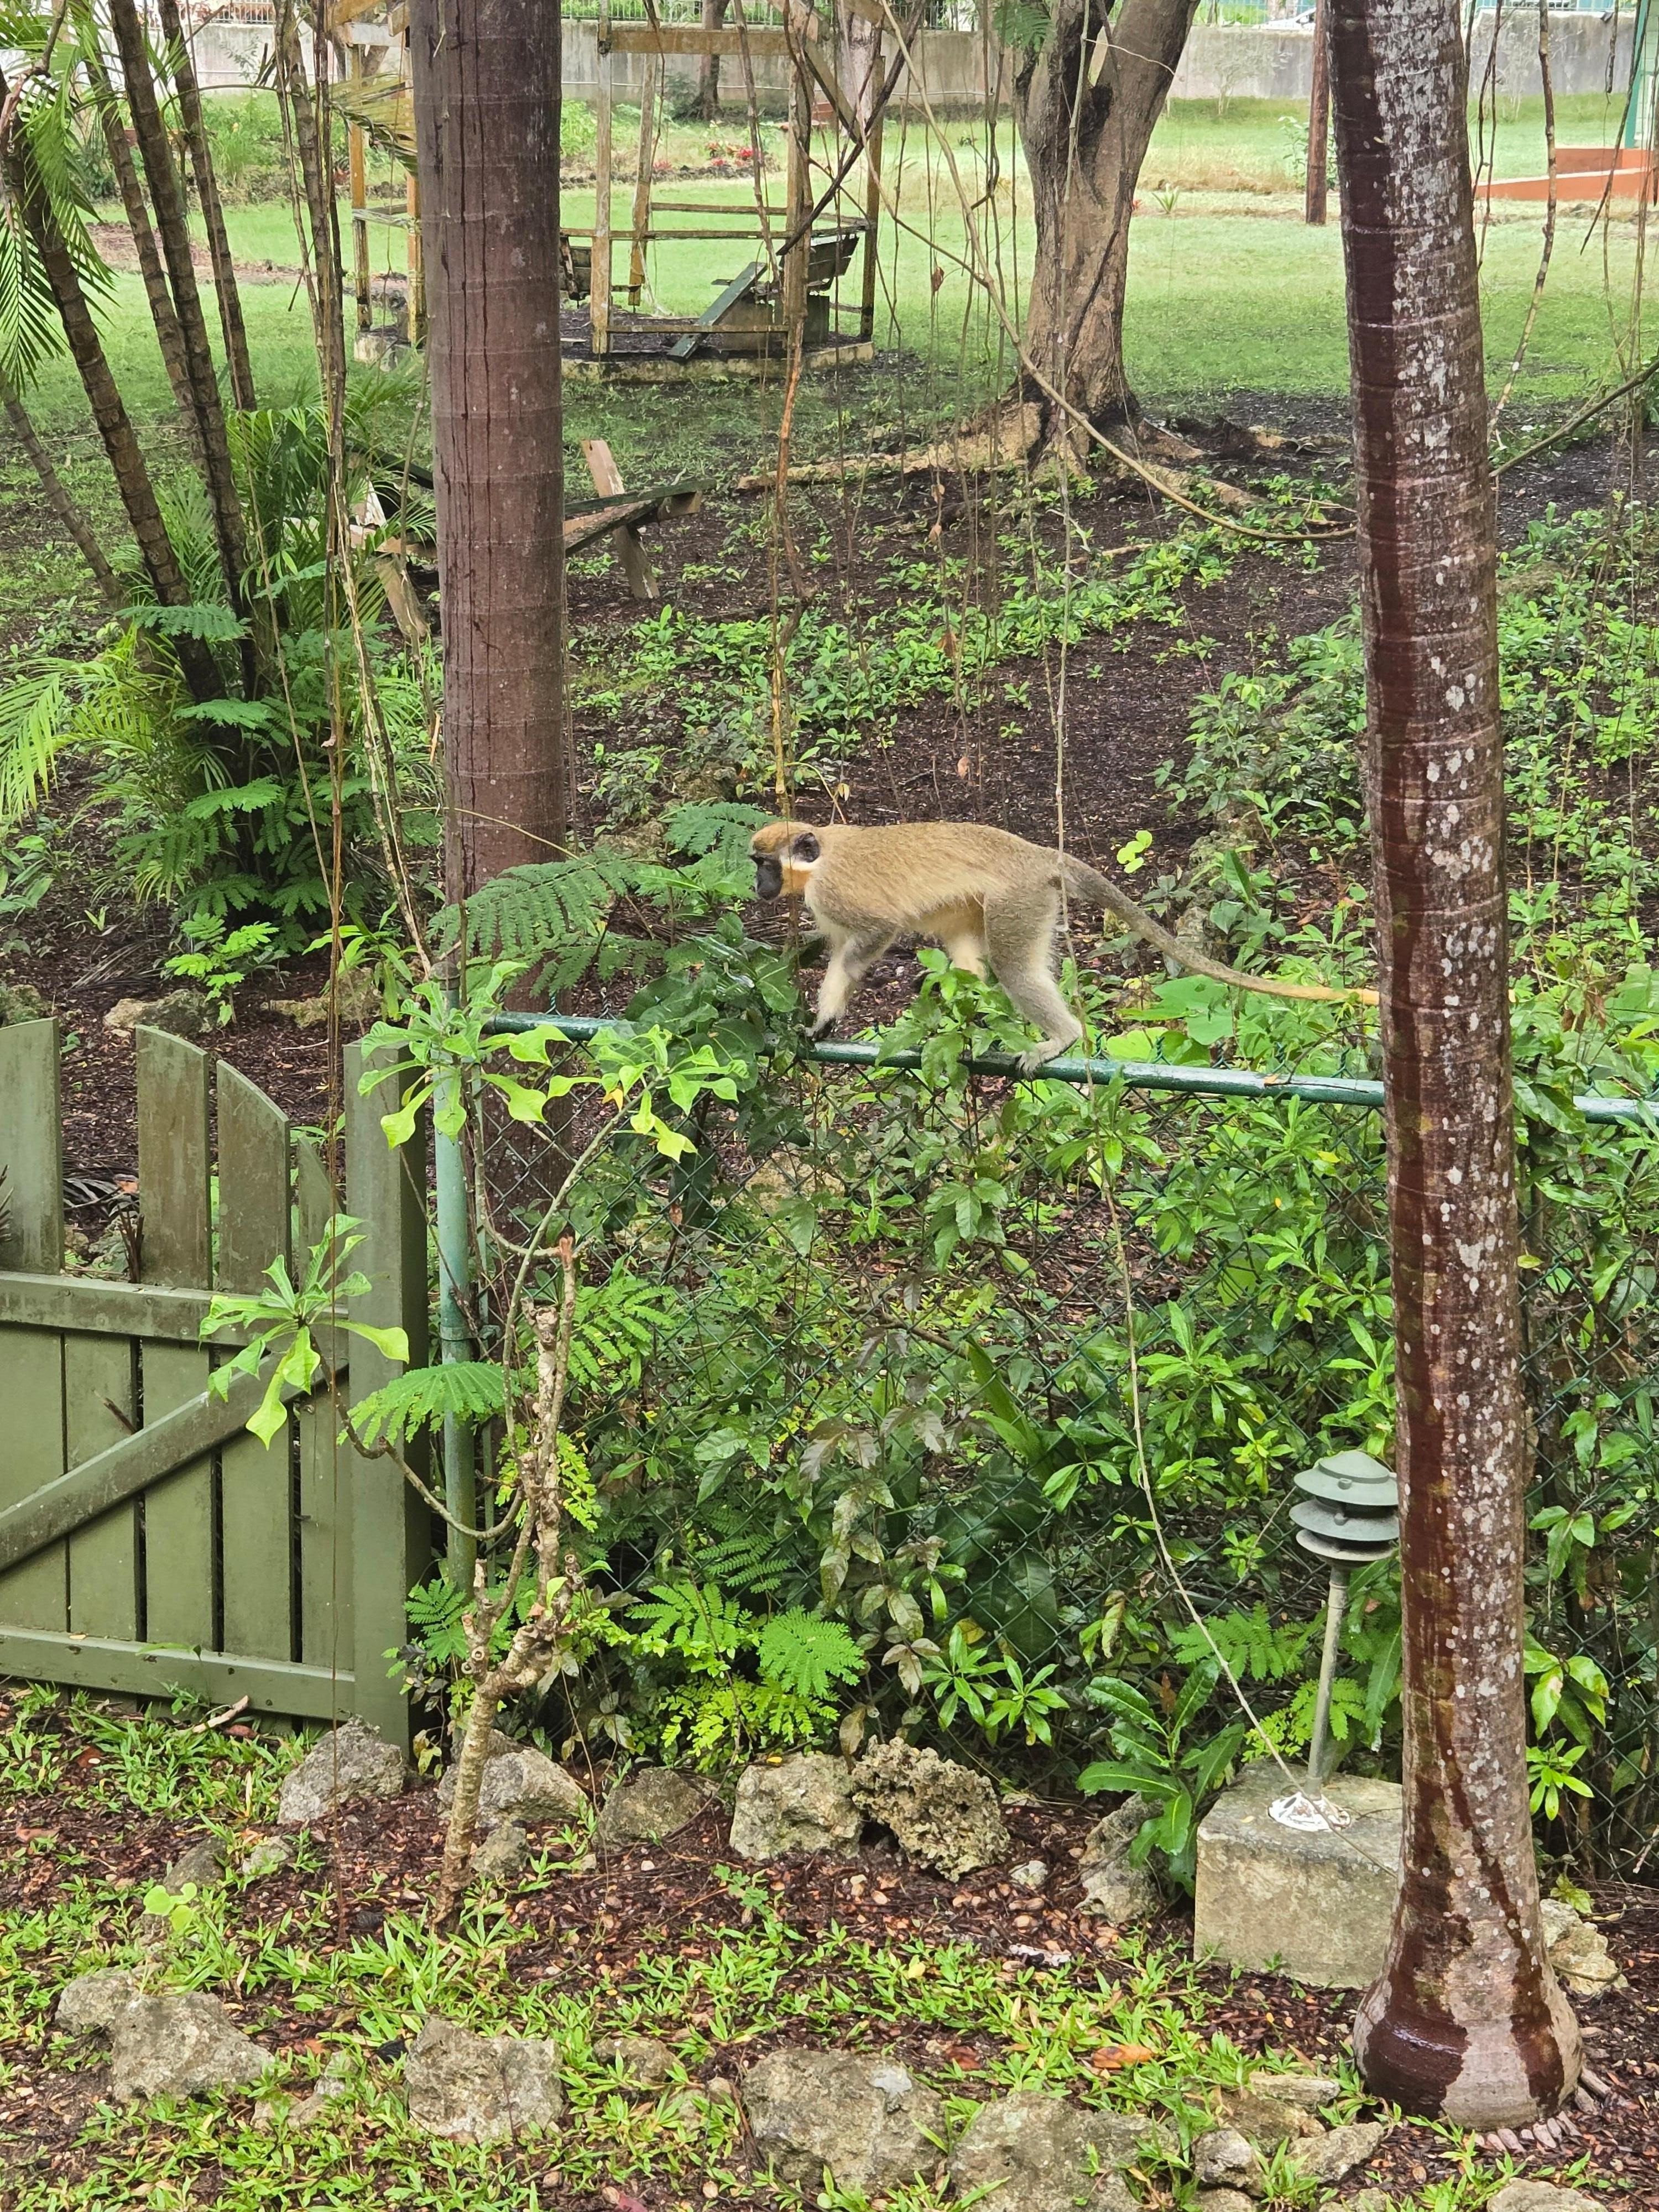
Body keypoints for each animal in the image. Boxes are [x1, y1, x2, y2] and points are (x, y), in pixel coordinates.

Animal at [750, 817, 1378, 1073]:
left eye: (764, 864)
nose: (758, 885)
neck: (821, 857)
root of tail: (1035, 856)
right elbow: (828, 946)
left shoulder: (837, 895)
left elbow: (872, 937)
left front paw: (825, 1014)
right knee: (970, 956)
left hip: (1020, 901)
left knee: (1013, 967)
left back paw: (1063, 1037)